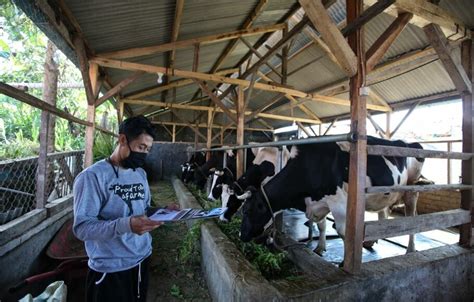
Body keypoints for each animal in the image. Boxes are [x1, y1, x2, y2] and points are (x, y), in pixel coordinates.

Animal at [239, 137, 424, 255]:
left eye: (247, 211)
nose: (241, 236)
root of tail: (408, 142)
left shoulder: (338, 202)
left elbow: (343, 232)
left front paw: (343, 263)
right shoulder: (318, 203)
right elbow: (321, 226)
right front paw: (320, 248)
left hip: (411, 187)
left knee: (412, 215)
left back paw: (410, 249)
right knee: (382, 213)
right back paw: (371, 241)